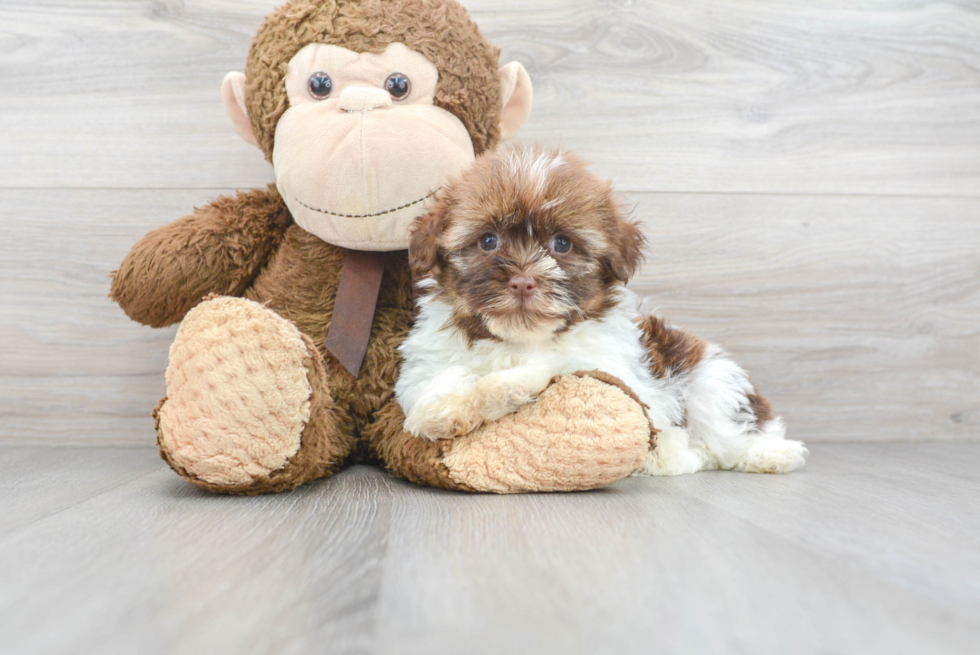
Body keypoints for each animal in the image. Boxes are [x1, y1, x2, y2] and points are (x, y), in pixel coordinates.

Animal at [394, 145, 808, 476]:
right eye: (488, 241)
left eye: (562, 244)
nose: (523, 281)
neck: (522, 339)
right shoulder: (425, 366)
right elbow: (430, 396)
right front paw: (460, 407)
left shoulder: (609, 365)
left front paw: (515, 382)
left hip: (709, 380)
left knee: (728, 432)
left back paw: (771, 454)